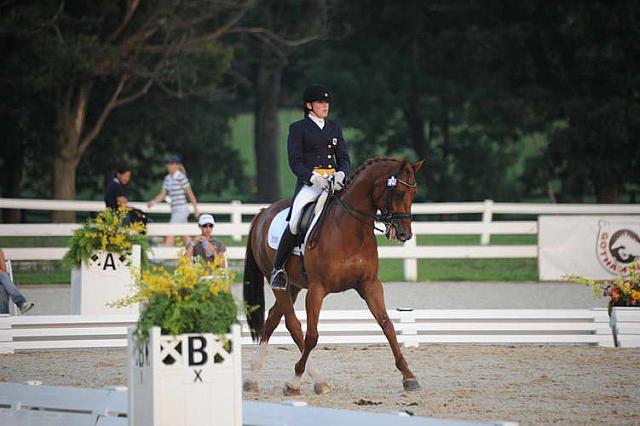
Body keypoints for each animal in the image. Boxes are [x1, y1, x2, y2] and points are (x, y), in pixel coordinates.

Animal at [242, 157, 422, 396]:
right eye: (400, 193)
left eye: (414, 192)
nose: (405, 234)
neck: (349, 229)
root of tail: (263, 211)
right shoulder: (317, 289)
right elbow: (312, 336)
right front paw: (294, 382)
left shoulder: (370, 285)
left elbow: (388, 326)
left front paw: (409, 376)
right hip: (278, 284)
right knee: (292, 324)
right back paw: (313, 379)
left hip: (294, 286)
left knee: (272, 319)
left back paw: (254, 378)